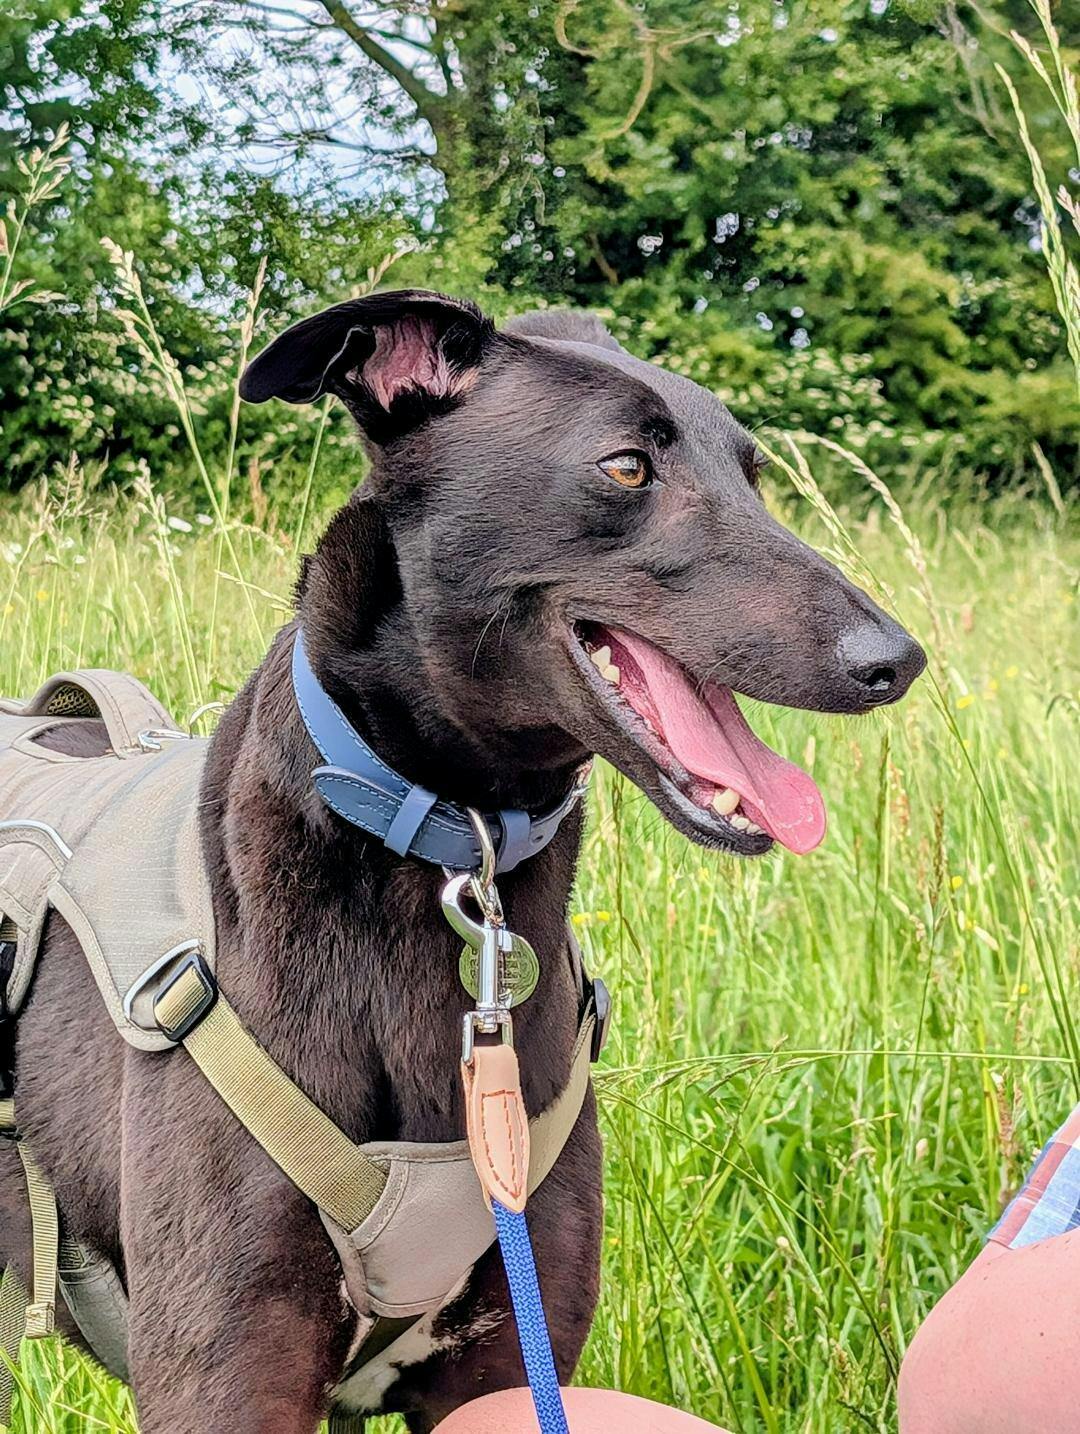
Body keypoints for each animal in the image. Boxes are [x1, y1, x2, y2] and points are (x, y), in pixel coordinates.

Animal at [1, 291, 924, 1432]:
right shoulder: (225, 1378)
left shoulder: (504, 1371)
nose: (893, 661)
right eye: (627, 467)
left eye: (753, 474)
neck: (456, 840)